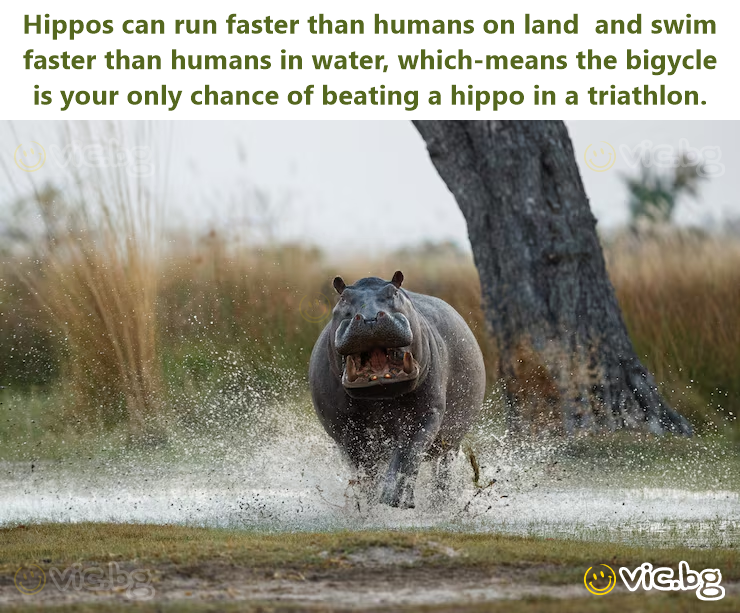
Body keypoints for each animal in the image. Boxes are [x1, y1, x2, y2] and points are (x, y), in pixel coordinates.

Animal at [308, 271, 486, 508]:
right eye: (343, 297)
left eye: (394, 292)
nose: (370, 318)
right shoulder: (344, 429)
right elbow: (364, 467)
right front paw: (368, 503)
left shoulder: (426, 414)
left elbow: (407, 454)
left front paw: (395, 500)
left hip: (452, 440)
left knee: (442, 470)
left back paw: (439, 505)